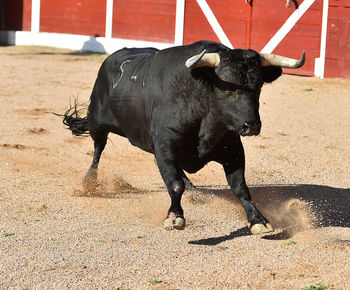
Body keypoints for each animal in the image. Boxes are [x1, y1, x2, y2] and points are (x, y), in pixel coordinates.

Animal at [60, 40, 304, 234]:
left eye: (259, 85)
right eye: (225, 86)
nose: (251, 126)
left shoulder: (233, 150)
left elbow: (240, 187)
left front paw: (257, 220)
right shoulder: (165, 147)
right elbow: (175, 184)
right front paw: (174, 216)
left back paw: (194, 189)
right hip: (97, 121)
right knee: (98, 148)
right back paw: (90, 182)